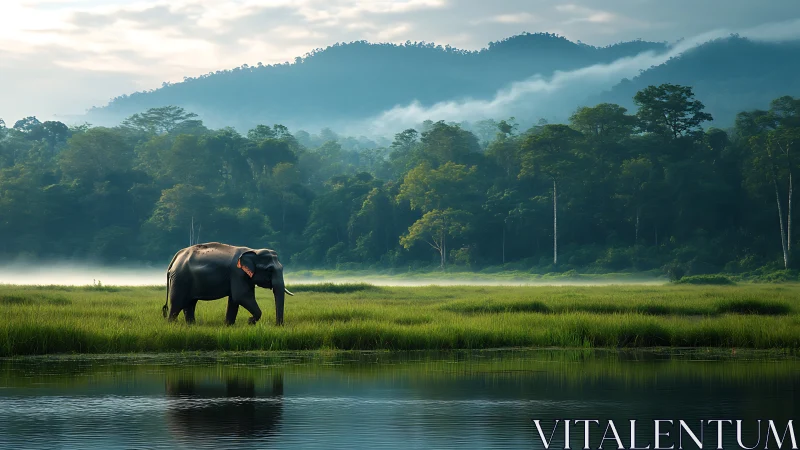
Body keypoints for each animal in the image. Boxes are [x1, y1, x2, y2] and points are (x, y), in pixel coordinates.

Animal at [163, 242, 294, 325]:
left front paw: (228, 325)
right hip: (180, 279)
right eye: (269, 270)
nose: (279, 325)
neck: (253, 250)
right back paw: (172, 324)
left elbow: (234, 300)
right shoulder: (237, 273)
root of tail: (176, 257)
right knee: (177, 303)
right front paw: (250, 321)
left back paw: (191, 325)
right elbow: (241, 296)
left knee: (190, 303)